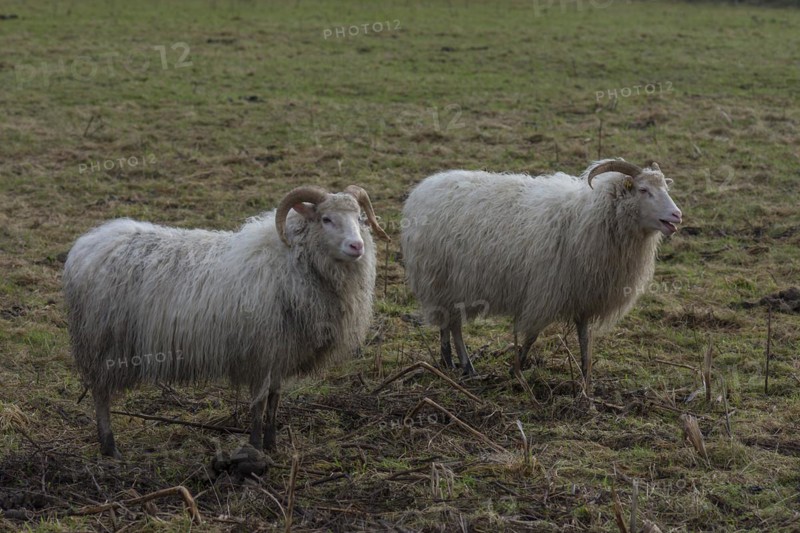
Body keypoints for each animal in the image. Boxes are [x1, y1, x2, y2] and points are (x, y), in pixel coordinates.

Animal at [63, 185, 390, 458]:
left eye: (359, 218)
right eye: (326, 219)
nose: (357, 247)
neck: (291, 261)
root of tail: (88, 244)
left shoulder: (281, 350)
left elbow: (274, 399)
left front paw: (272, 444)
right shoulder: (261, 350)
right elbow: (259, 402)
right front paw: (256, 446)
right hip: (103, 344)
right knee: (100, 395)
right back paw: (110, 448)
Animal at [400, 159, 682, 388]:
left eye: (665, 189)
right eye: (643, 190)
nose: (677, 215)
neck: (589, 217)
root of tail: (423, 188)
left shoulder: (585, 296)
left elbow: (584, 339)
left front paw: (585, 380)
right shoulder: (545, 292)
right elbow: (532, 335)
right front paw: (516, 370)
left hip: (452, 284)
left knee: (451, 323)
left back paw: (455, 364)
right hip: (439, 280)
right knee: (450, 324)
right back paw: (458, 363)